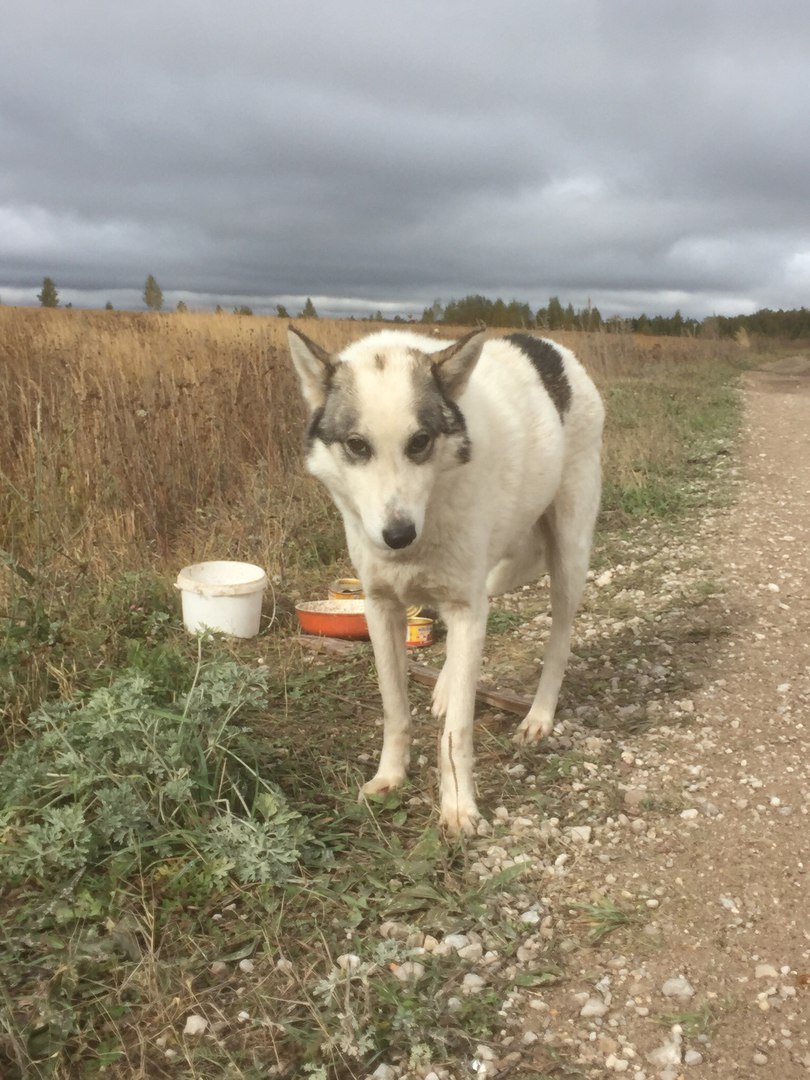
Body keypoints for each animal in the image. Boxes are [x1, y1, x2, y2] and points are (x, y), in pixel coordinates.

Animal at [289, 324, 604, 829]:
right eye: (357, 445)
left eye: (420, 441)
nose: (397, 535)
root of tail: (549, 346)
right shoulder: (381, 608)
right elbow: (395, 711)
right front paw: (390, 778)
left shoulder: (465, 606)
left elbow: (456, 733)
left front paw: (458, 806)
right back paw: (444, 686)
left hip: (568, 558)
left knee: (558, 641)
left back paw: (538, 715)